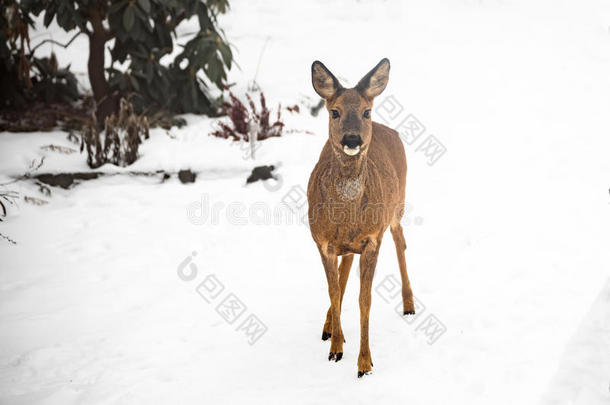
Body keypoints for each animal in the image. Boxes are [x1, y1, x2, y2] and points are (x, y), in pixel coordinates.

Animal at [304, 58, 414, 378]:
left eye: (366, 111)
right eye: (334, 111)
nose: (352, 139)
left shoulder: (372, 240)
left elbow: (365, 300)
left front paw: (364, 363)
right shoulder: (322, 242)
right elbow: (334, 291)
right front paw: (336, 349)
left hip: (397, 205)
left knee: (401, 241)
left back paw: (409, 304)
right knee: (344, 271)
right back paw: (329, 327)